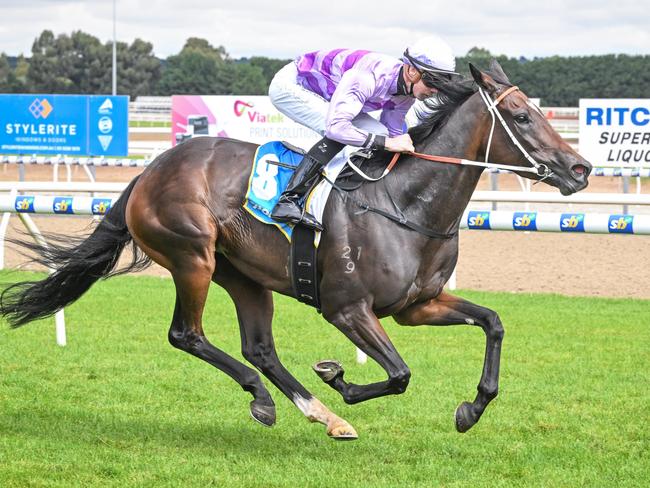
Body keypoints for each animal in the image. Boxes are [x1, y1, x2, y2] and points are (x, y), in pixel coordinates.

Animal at [0, 61, 588, 438]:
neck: (406, 204)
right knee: (186, 334)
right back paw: (275, 399)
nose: (580, 169)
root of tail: (151, 169)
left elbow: (493, 323)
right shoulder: (347, 308)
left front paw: (471, 409)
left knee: (259, 348)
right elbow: (400, 374)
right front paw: (339, 379)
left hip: (243, 275)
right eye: (522, 117)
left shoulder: (417, 306)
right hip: (193, 257)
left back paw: (317, 414)